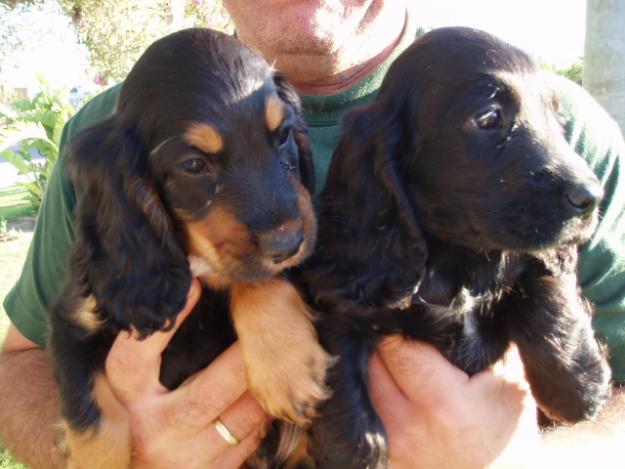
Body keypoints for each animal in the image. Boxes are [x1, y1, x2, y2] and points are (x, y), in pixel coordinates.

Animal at [48, 27, 332, 466]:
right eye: (195, 165)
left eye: (284, 134)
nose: (288, 245)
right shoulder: (73, 323)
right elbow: (94, 418)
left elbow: (258, 278)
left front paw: (286, 369)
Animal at [304, 26, 612, 468]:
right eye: (489, 118)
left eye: (559, 122)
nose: (591, 197)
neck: (458, 261)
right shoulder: (343, 298)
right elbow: (339, 371)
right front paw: (351, 452)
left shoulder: (528, 255)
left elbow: (543, 283)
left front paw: (577, 385)